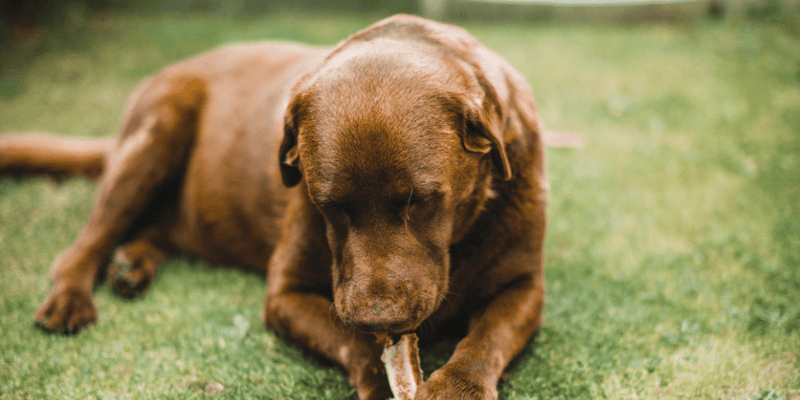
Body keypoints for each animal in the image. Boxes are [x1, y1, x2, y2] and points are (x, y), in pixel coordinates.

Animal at [0, 15, 548, 400]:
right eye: (329, 205)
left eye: (423, 200)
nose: (378, 319)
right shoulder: (285, 293)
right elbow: (348, 340)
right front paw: (377, 372)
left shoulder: (525, 286)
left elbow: (487, 338)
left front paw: (458, 386)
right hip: (158, 132)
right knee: (82, 246)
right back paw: (72, 299)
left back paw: (132, 266)